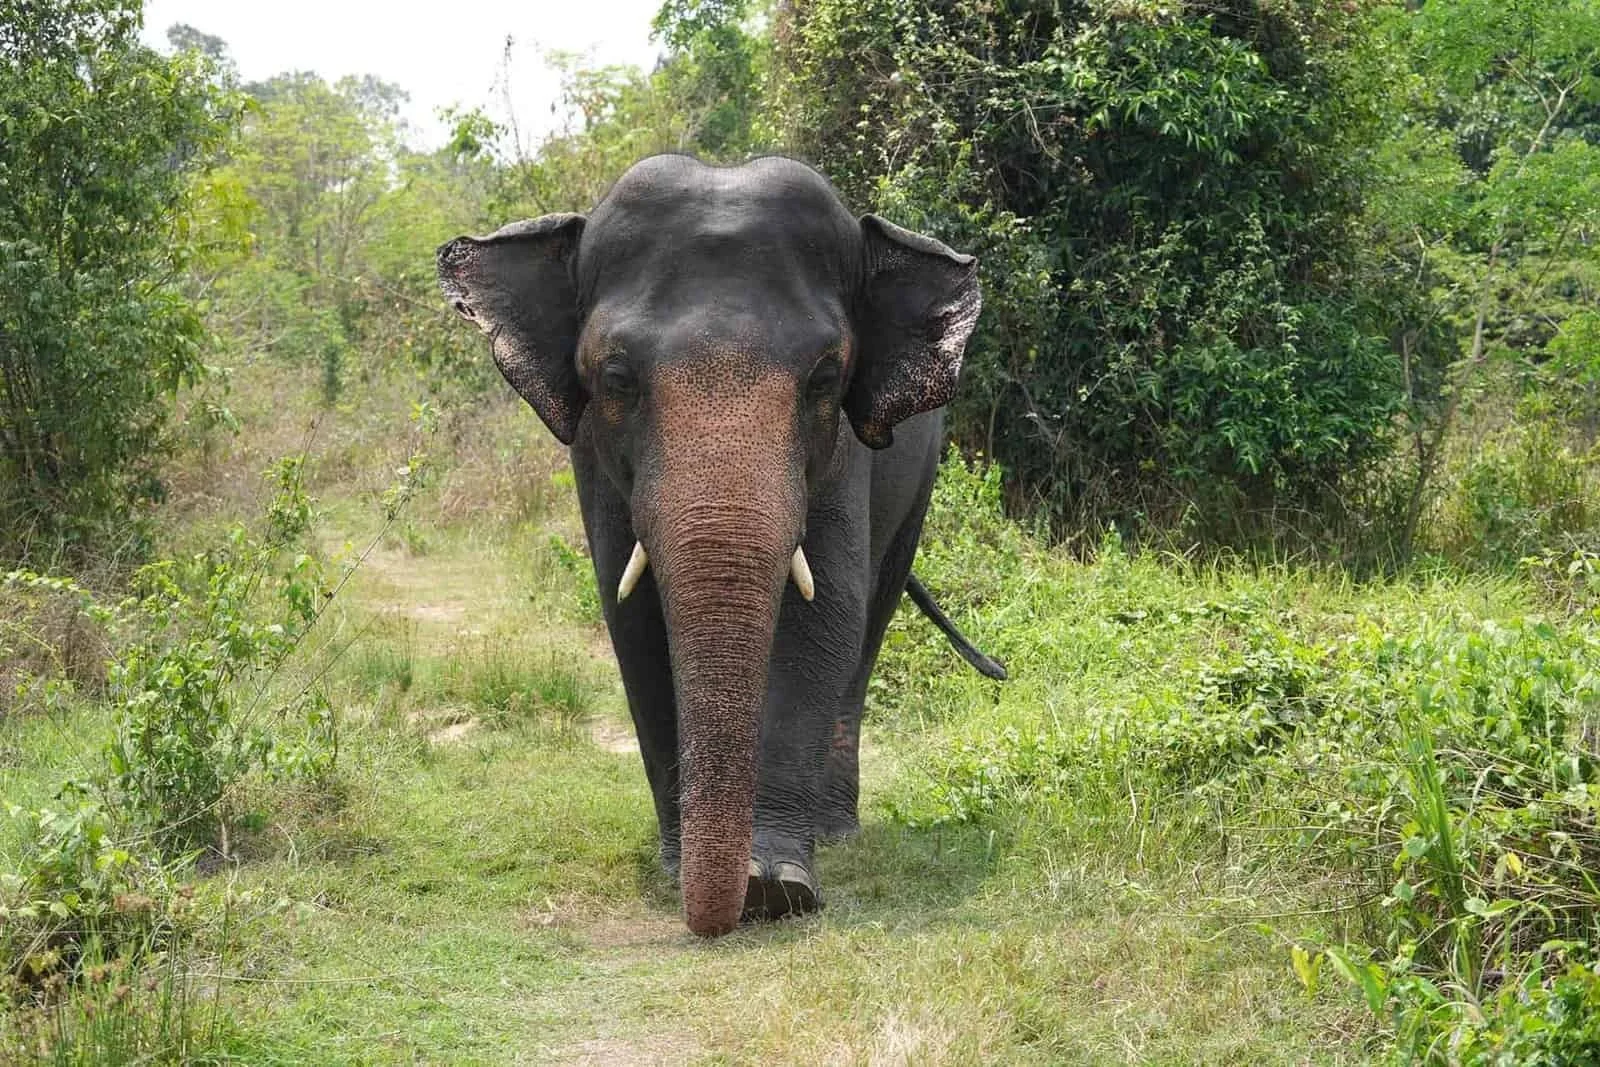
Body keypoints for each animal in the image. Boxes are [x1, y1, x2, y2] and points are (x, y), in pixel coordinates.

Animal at [437, 154, 1004, 937]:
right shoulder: (592, 454)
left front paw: (777, 886)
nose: (713, 920)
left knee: (870, 625)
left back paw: (835, 833)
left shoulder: (846, 453)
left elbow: (824, 612)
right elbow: (634, 620)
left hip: (920, 476)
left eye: (826, 379)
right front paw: (686, 870)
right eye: (615, 378)